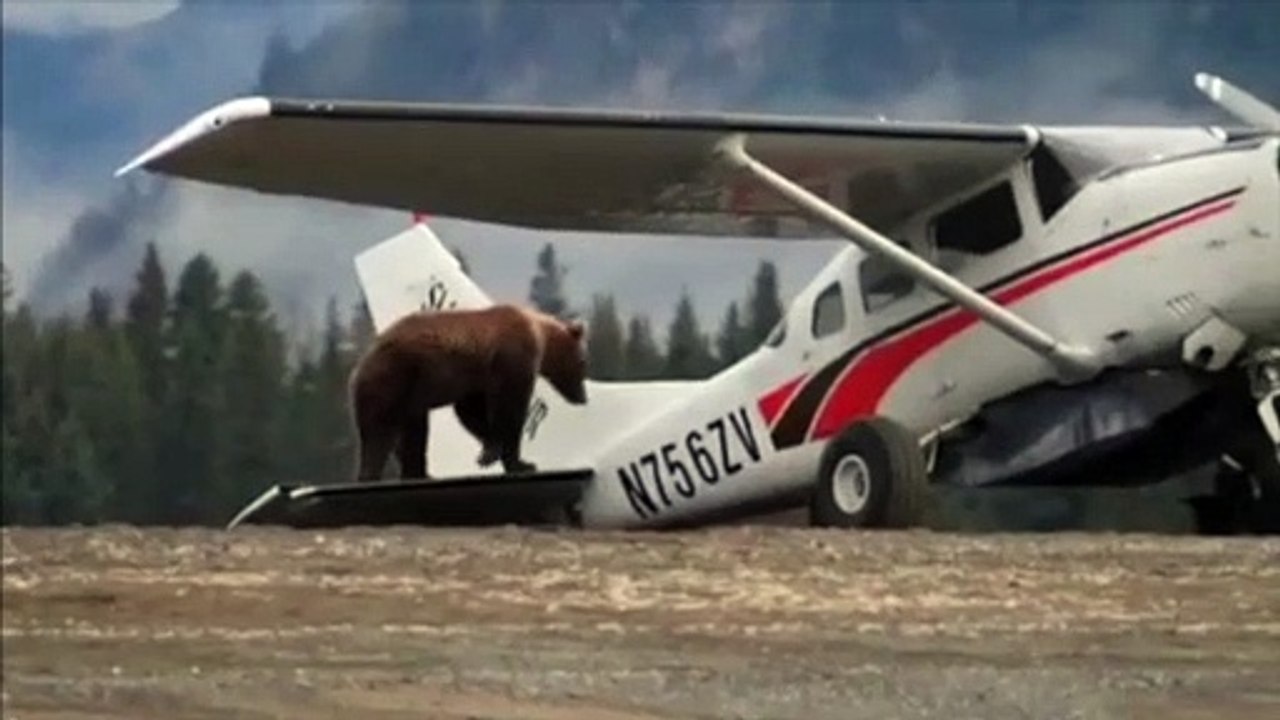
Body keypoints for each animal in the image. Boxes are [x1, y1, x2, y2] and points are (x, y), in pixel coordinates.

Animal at [347, 304, 588, 482]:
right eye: (583, 363)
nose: (583, 397)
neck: (540, 334)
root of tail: (358, 368)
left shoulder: (476, 378)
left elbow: (469, 411)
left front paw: (490, 451)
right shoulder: (512, 359)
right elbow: (510, 408)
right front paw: (522, 463)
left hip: (411, 395)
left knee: (414, 434)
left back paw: (421, 473)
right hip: (394, 380)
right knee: (379, 434)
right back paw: (372, 474)